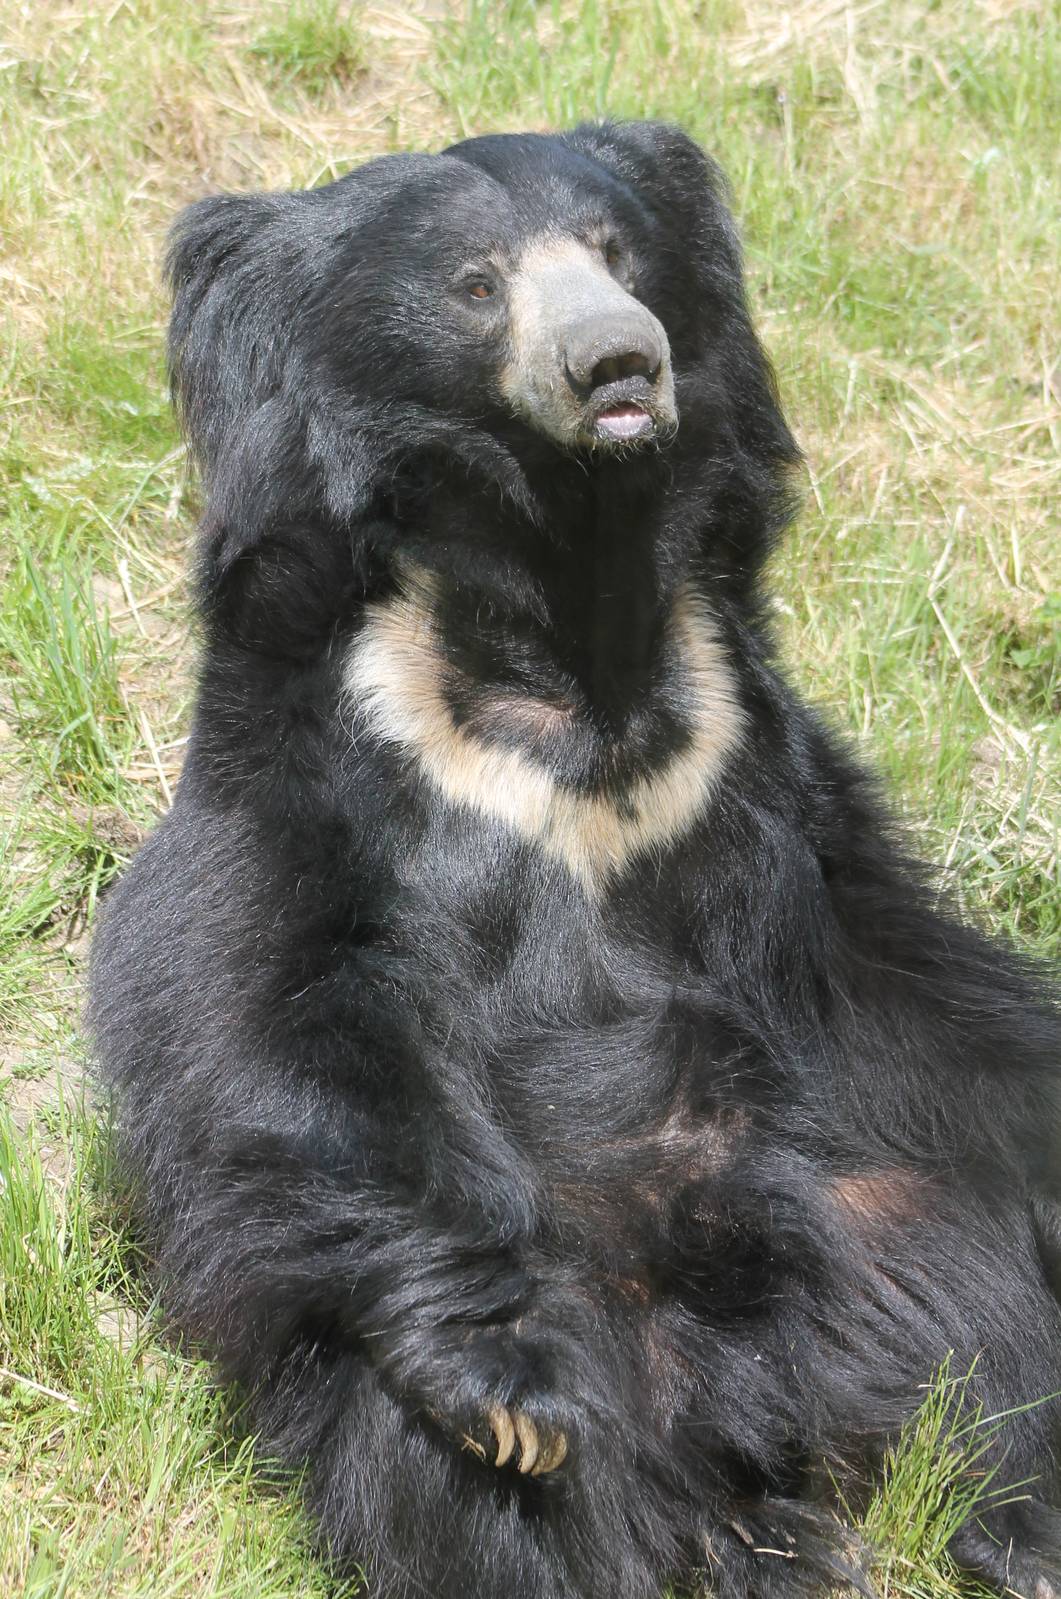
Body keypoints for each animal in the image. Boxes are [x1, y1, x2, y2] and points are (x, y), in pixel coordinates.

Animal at [88, 122, 1061, 1599]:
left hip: (898, 1213)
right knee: (487, 1492)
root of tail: (767, 1413)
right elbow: (268, 1003)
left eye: (617, 255)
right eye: (478, 286)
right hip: (538, 1341)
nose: (617, 363)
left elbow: (916, 978)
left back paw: (1013, 1529)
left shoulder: (755, 758)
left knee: (996, 1349)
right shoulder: (315, 748)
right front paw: (496, 1379)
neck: (567, 590)